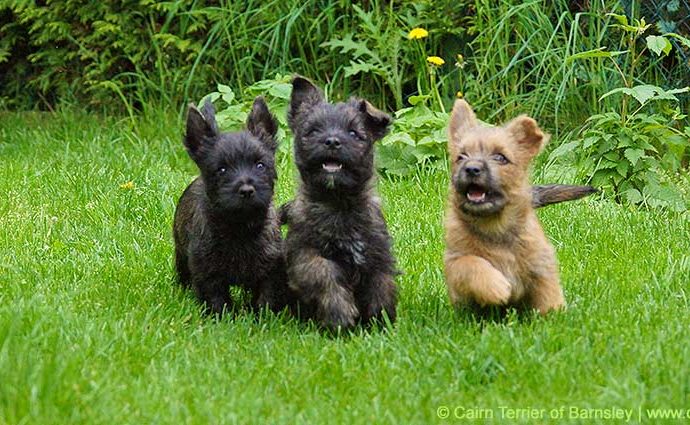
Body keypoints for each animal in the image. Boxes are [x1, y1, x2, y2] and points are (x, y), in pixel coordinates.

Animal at [280, 77, 398, 332]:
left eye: (354, 132)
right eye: (313, 131)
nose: (332, 141)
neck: (338, 203)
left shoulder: (378, 255)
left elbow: (382, 285)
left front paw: (380, 322)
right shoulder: (304, 256)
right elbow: (325, 273)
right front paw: (340, 314)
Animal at [444, 98, 560, 312]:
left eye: (500, 157)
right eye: (461, 157)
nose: (471, 168)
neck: (494, 225)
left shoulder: (541, 264)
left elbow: (549, 295)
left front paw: (554, 314)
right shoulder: (454, 261)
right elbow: (470, 262)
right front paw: (495, 287)